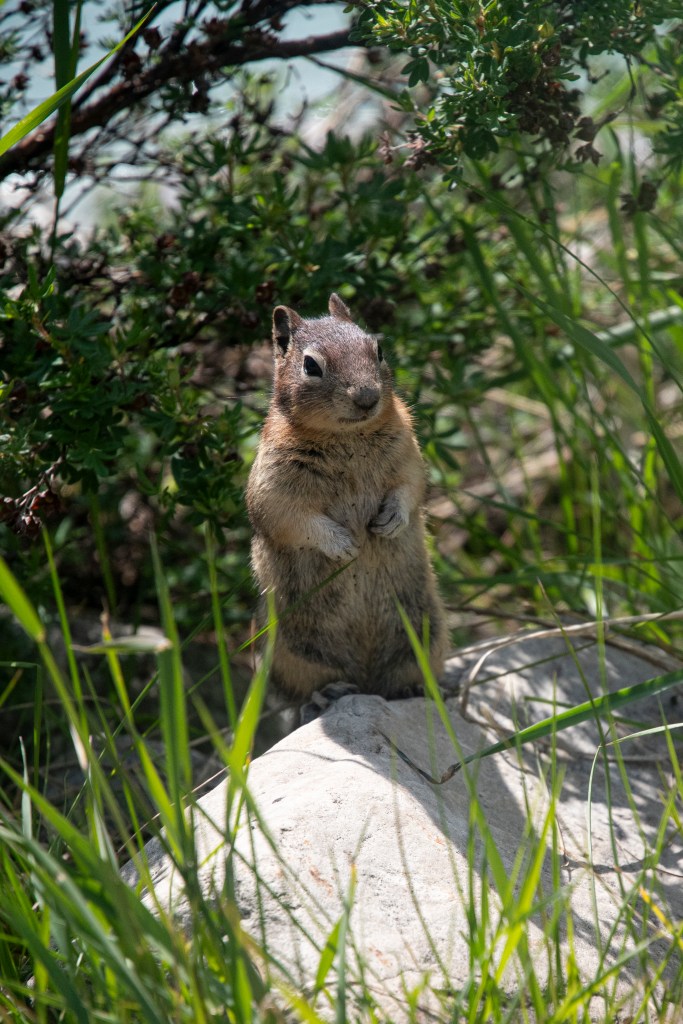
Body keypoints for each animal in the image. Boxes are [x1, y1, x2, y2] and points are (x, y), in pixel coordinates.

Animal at [246, 292, 447, 702]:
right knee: (307, 686)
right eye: (310, 365)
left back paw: (415, 689)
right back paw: (331, 692)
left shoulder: (408, 453)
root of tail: (367, 680)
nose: (368, 397)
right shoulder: (274, 484)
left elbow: (410, 487)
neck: (346, 438)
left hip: (426, 633)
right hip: (294, 652)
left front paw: (391, 522)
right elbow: (291, 519)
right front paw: (343, 545)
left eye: (378, 349)